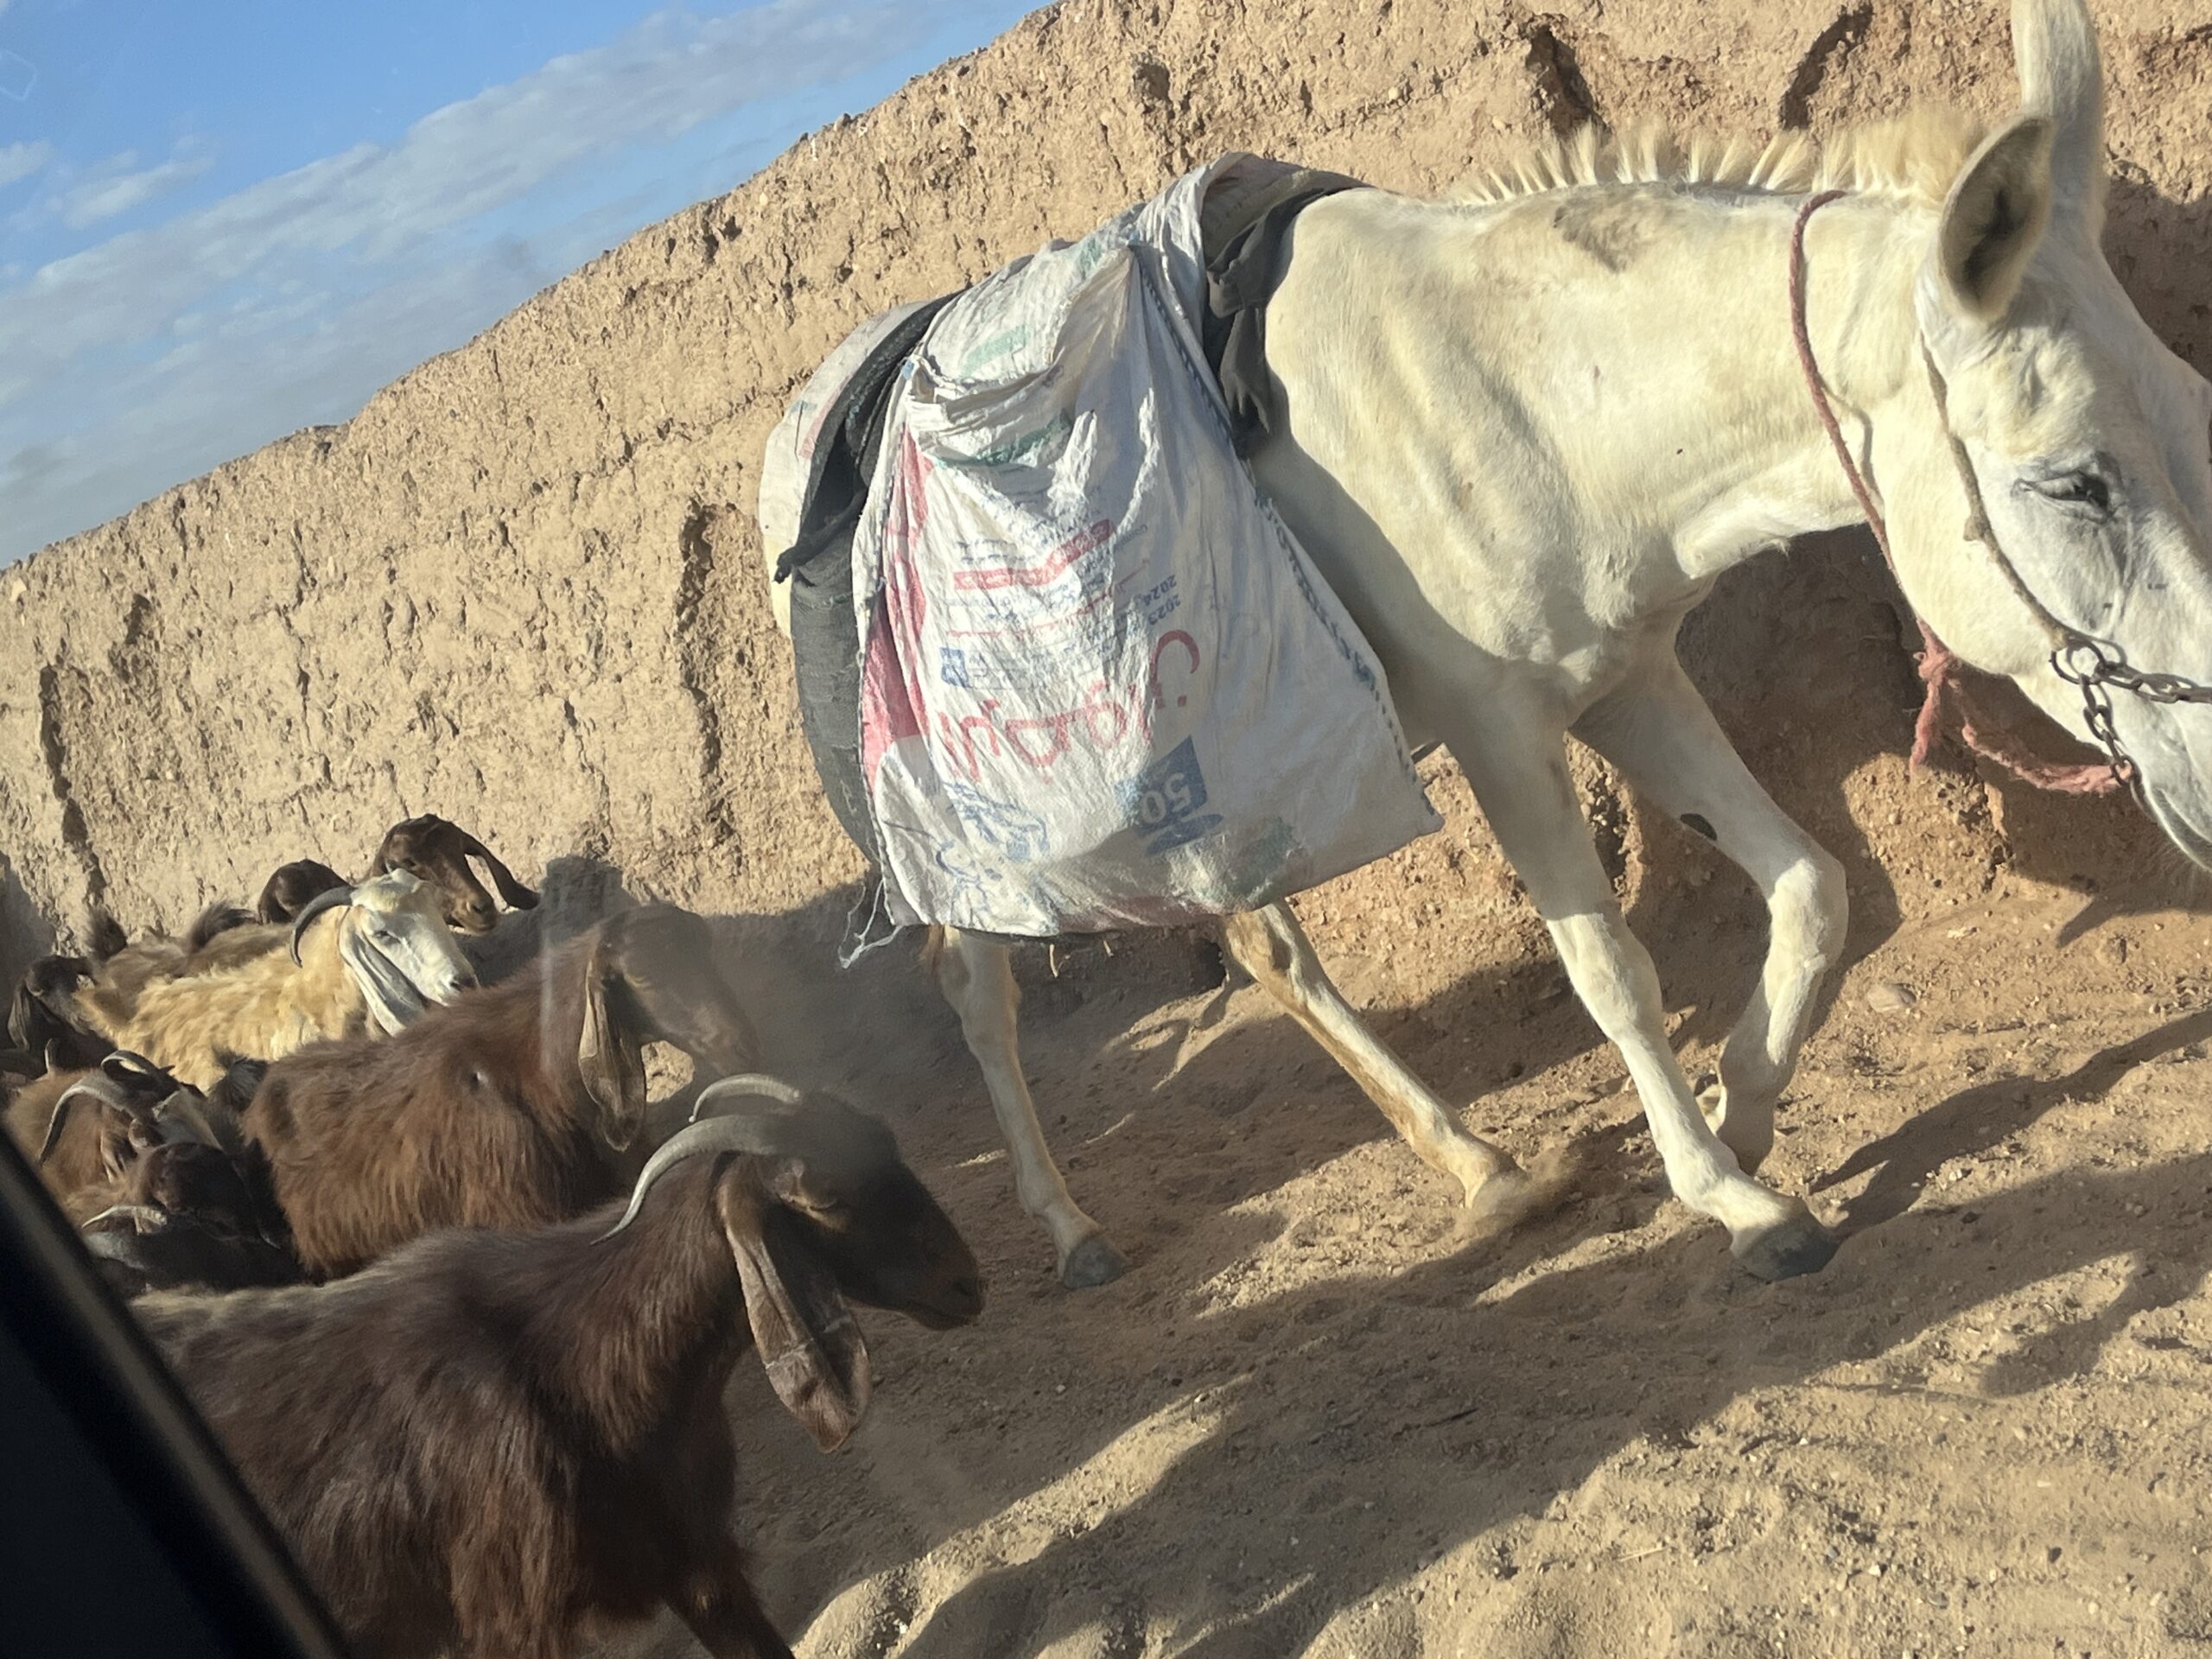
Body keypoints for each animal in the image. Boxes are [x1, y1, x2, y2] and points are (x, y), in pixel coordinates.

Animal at [136, 1077, 982, 1659]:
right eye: (825, 1198)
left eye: (882, 1137)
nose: (967, 1284)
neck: (582, 1358)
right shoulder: (510, 1620)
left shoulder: (694, 1556)